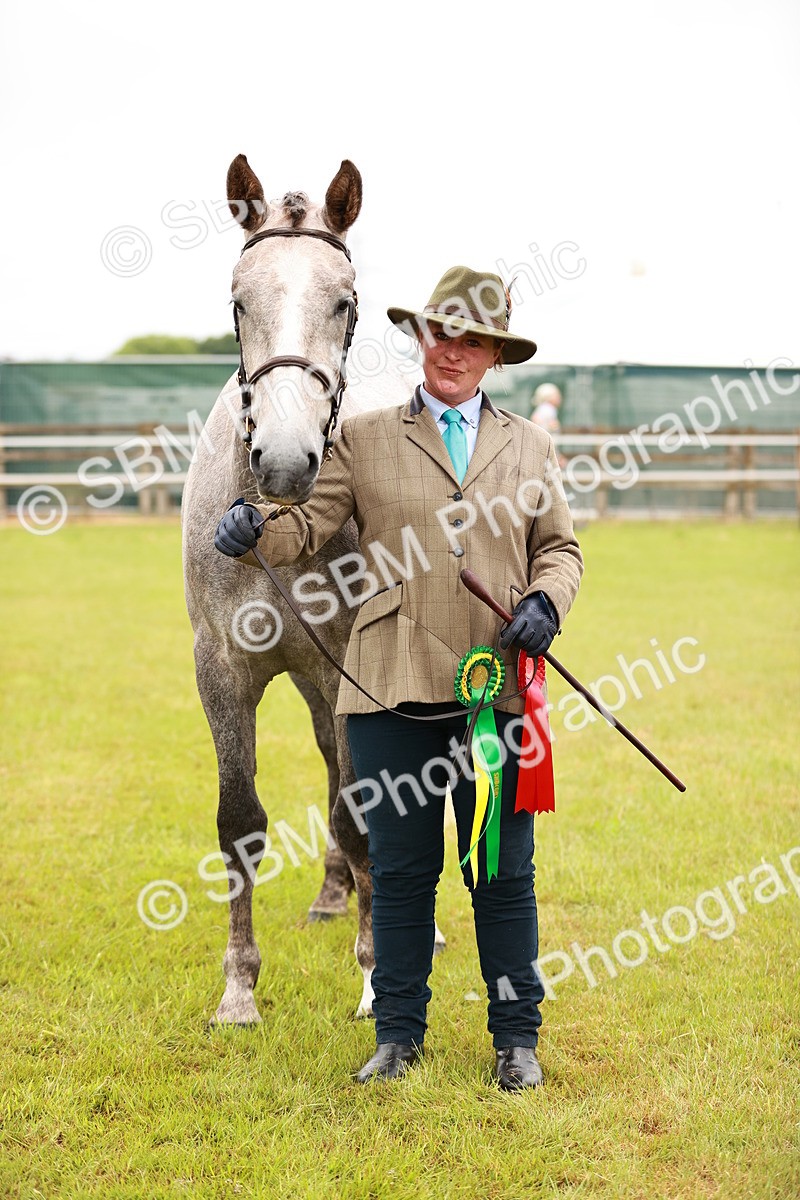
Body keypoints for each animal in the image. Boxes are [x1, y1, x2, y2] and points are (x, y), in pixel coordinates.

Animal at [181, 154, 422, 1026]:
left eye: (343, 301)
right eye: (238, 299)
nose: (285, 463)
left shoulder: (350, 667)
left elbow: (361, 813)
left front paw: (374, 973)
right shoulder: (220, 671)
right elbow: (238, 823)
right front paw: (238, 989)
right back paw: (329, 895)